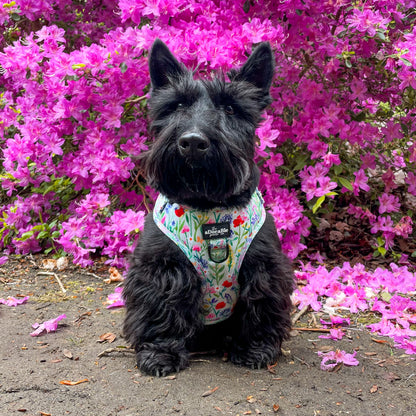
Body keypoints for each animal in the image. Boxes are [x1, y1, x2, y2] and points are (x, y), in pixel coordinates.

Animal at [122, 39, 294, 376]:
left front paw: (256, 348)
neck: (208, 206)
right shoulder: (160, 269)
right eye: (177, 106)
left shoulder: (265, 269)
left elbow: (260, 307)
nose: (192, 142)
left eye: (230, 108)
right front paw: (160, 353)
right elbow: (161, 308)